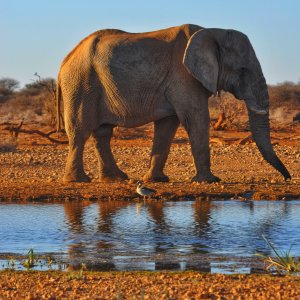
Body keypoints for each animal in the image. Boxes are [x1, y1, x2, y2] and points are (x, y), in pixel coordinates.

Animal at [56, 23, 290, 183]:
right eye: (242, 70)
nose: (287, 178)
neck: (212, 32)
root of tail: (65, 60)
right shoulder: (184, 76)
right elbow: (196, 118)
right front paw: (209, 181)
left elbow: (167, 126)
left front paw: (157, 180)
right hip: (80, 83)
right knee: (80, 131)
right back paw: (78, 181)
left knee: (102, 133)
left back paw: (117, 178)